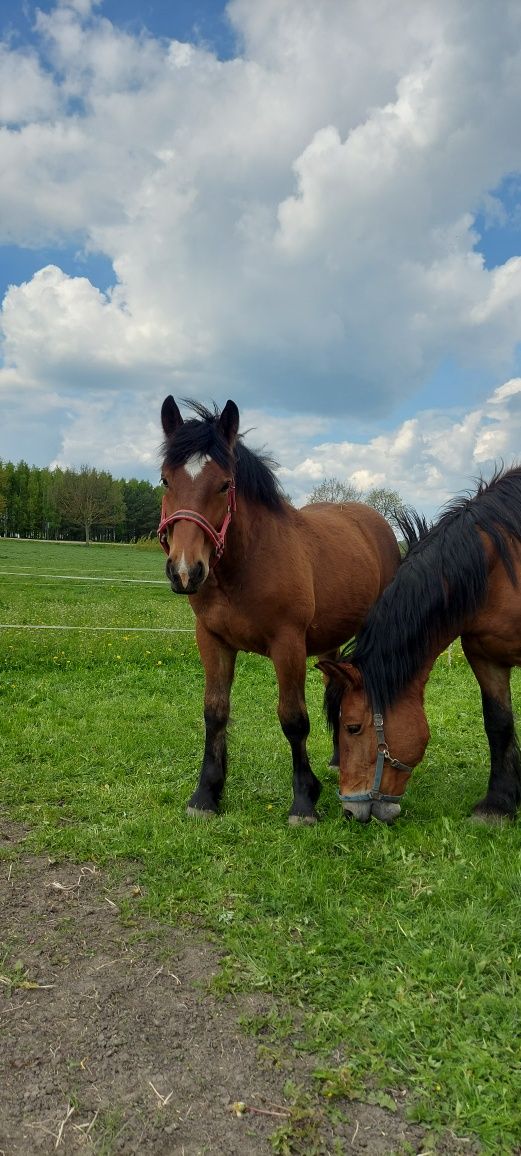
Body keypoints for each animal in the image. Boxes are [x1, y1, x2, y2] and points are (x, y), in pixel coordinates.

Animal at [158, 397, 399, 823]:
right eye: (165, 480)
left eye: (224, 484)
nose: (185, 571)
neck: (246, 564)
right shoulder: (212, 641)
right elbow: (214, 712)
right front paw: (205, 795)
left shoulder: (288, 646)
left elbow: (293, 719)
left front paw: (304, 801)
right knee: (337, 687)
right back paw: (338, 758)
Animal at [321, 464, 521, 827]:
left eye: (352, 727)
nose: (349, 810)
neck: (500, 566)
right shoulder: (485, 657)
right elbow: (498, 724)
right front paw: (498, 805)